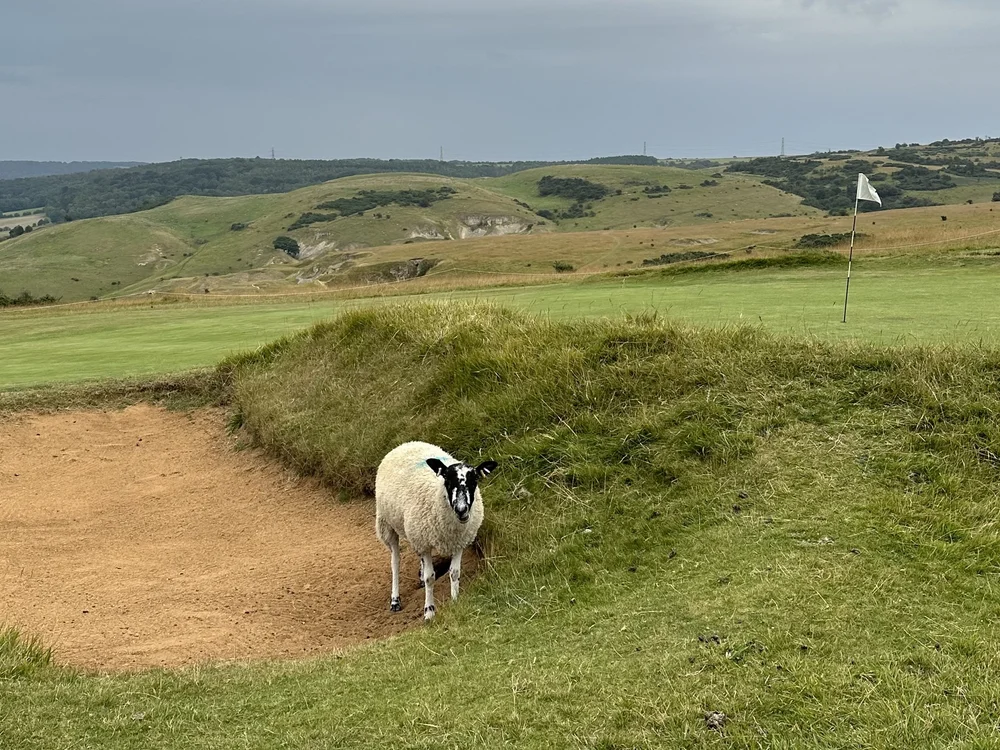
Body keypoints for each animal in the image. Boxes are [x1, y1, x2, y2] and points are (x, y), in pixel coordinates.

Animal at [375, 441, 497, 620]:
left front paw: (455, 601)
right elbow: (430, 578)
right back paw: (395, 600)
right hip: (387, 524)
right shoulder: (424, 543)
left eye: (474, 480)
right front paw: (429, 612)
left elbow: (454, 572)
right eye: (447, 479)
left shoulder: (459, 542)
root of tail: (407, 443)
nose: (461, 509)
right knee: (395, 561)